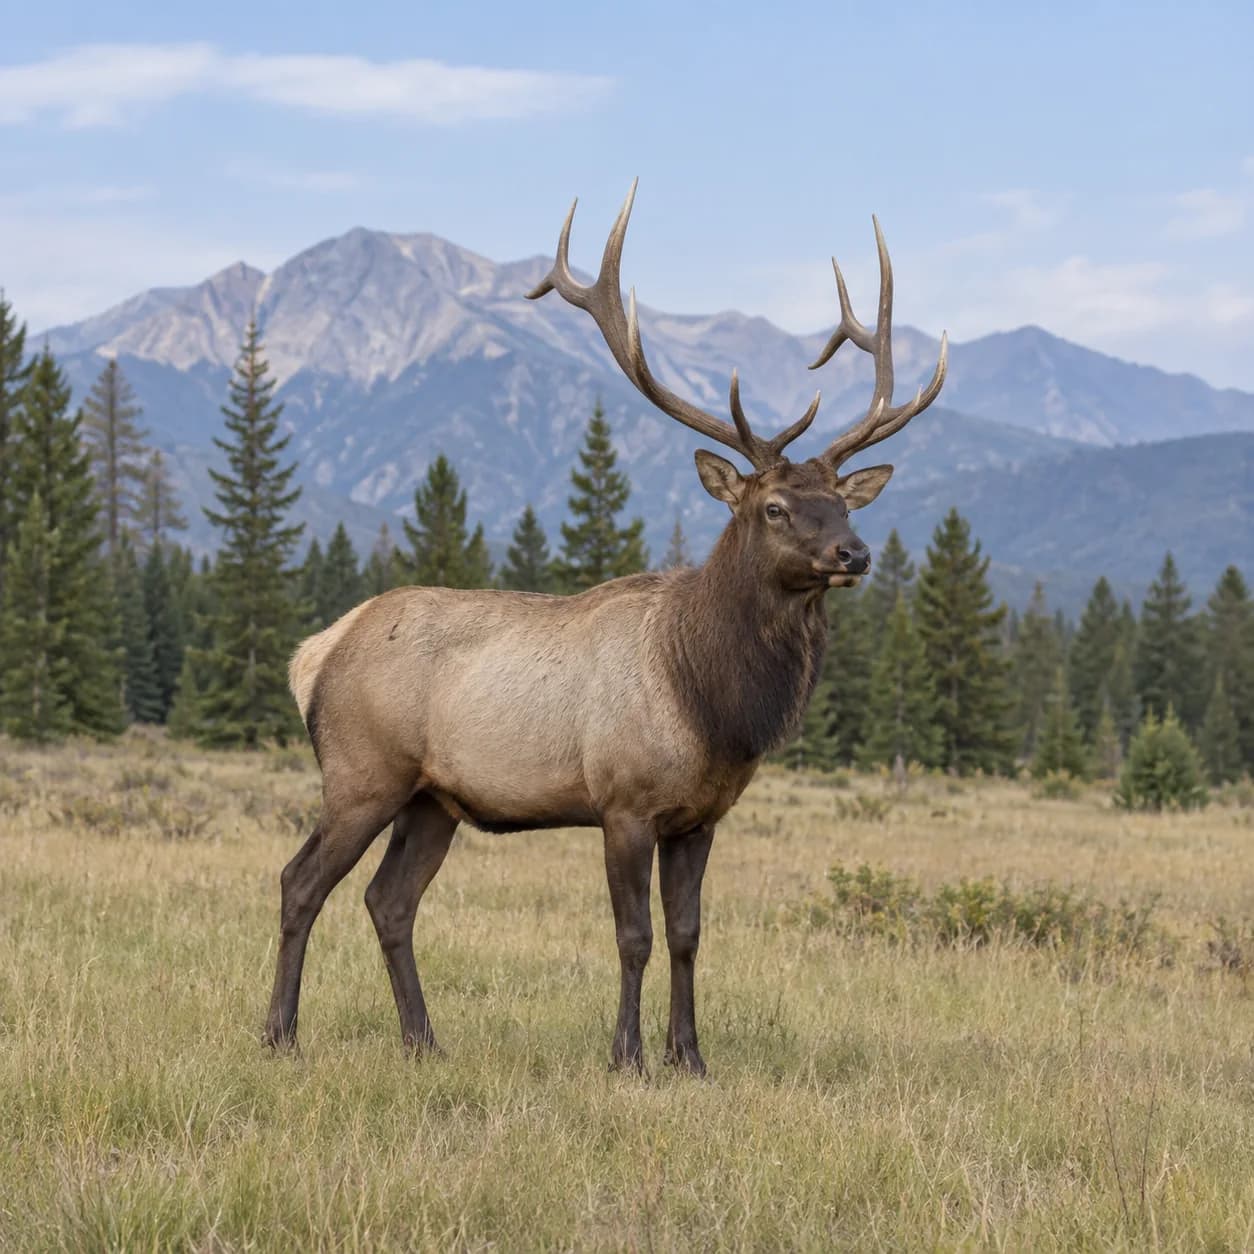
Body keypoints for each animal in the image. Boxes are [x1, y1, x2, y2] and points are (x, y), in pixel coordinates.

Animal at [263, 181, 946, 1074]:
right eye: (773, 507)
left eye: (843, 502)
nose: (853, 553)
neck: (713, 703)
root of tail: (314, 653)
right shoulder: (622, 801)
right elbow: (634, 936)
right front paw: (627, 1056)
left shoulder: (701, 817)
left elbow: (688, 934)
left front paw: (690, 1057)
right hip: (361, 772)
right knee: (300, 881)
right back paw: (280, 1033)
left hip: (433, 799)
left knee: (389, 900)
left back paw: (424, 1041)